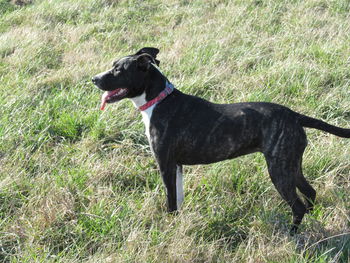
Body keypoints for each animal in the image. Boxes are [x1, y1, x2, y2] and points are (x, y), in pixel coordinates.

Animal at [93, 48, 350, 235]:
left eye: (118, 70)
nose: (94, 79)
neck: (158, 101)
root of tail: (294, 115)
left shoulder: (165, 164)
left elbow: (170, 200)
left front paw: (168, 225)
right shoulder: (177, 166)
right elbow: (178, 197)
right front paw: (178, 223)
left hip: (279, 169)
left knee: (297, 205)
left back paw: (292, 234)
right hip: (291, 163)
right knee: (310, 193)